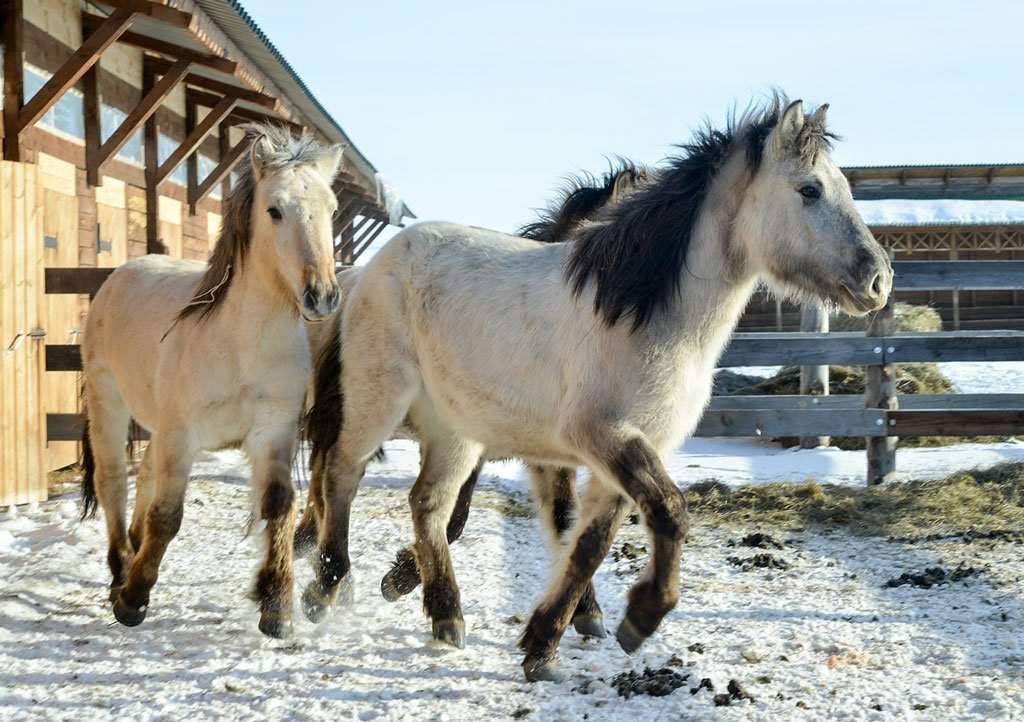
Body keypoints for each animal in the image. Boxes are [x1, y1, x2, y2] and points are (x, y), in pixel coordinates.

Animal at [80, 123, 344, 634]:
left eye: (332, 209)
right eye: (274, 209)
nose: (321, 295)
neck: (239, 344)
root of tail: (123, 273)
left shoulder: (272, 431)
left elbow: (278, 505)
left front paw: (276, 607)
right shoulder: (182, 435)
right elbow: (168, 516)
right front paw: (133, 600)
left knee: (144, 474)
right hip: (108, 402)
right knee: (113, 479)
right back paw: (121, 569)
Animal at [303, 97, 888, 680]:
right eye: (809, 189)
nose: (878, 280)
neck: (641, 317)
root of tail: (365, 270)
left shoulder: (627, 450)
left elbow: (588, 542)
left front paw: (544, 643)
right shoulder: (600, 436)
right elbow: (669, 512)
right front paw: (642, 616)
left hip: (456, 430)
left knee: (429, 504)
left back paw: (446, 617)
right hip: (378, 401)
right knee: (340, 473)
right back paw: (325, 590)